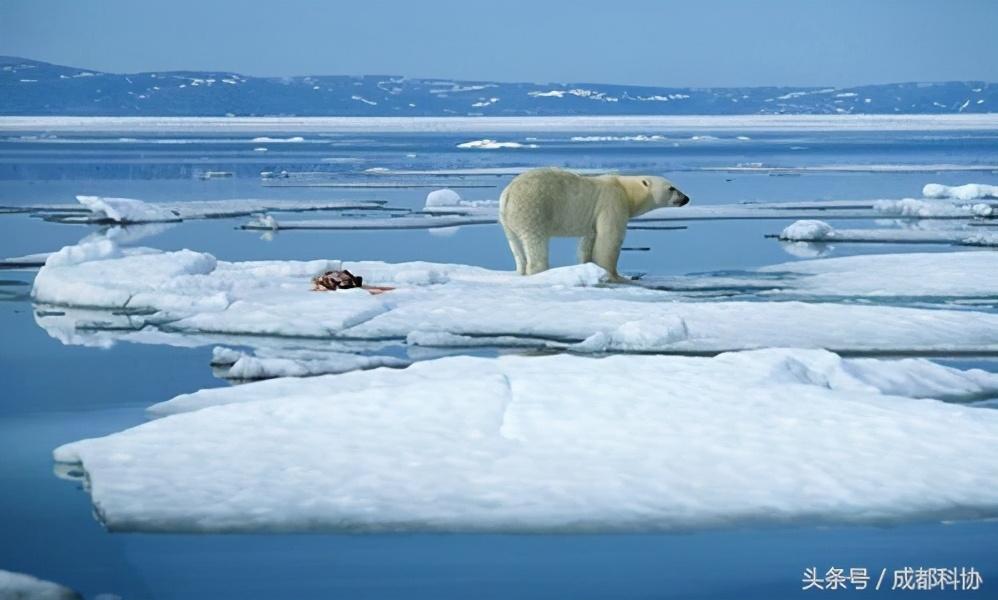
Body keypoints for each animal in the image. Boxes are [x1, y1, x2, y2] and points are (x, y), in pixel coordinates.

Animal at [498, 168, 688, 280]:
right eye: (671, 188)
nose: (686, 198)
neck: (627, 190)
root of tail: (508, 193)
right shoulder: (613, 202)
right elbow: (609, 239)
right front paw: (614, 275)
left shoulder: (594, 217)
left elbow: (588, 241)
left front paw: (588, 266)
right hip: (533, 207)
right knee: (535, 240)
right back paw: (539, 270)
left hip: (507, 220)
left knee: (515, 244)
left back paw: (521, 270)